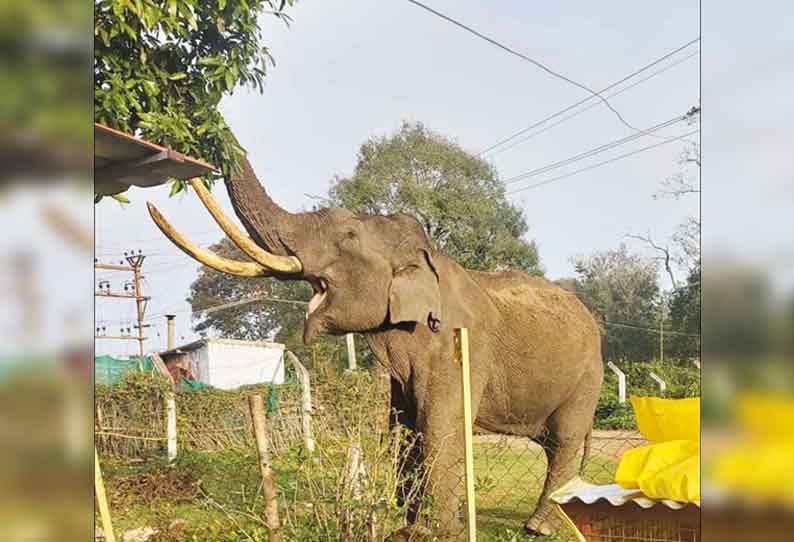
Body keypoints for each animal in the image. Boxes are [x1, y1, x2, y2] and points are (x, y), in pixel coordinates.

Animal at [148, 155, 604, 540]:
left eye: (348, 235)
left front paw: (439, 533)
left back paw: (539, 528)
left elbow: (438, 432)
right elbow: (403, 430)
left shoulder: (459, 347)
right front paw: (409, 528)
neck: (427, 258)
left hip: (588, 376)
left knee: (564, 439)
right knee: (555, 444)